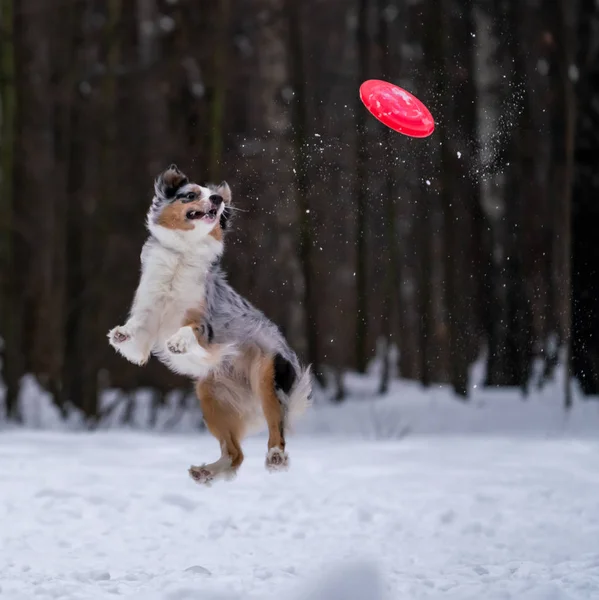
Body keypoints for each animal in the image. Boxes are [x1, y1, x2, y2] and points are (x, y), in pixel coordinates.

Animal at [109, 165, 314, 488]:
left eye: (215, 198)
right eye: (191, 194)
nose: (217, 199)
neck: (183, 254)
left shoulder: (205, 321)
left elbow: (190, 329)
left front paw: (178, 343)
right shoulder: (149, 311)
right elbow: (137, 335)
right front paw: (121, 334)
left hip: (267, 375)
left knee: (275, 427)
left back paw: (276, 457)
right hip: (210, 397)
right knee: (235, 454)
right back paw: (205, 472)